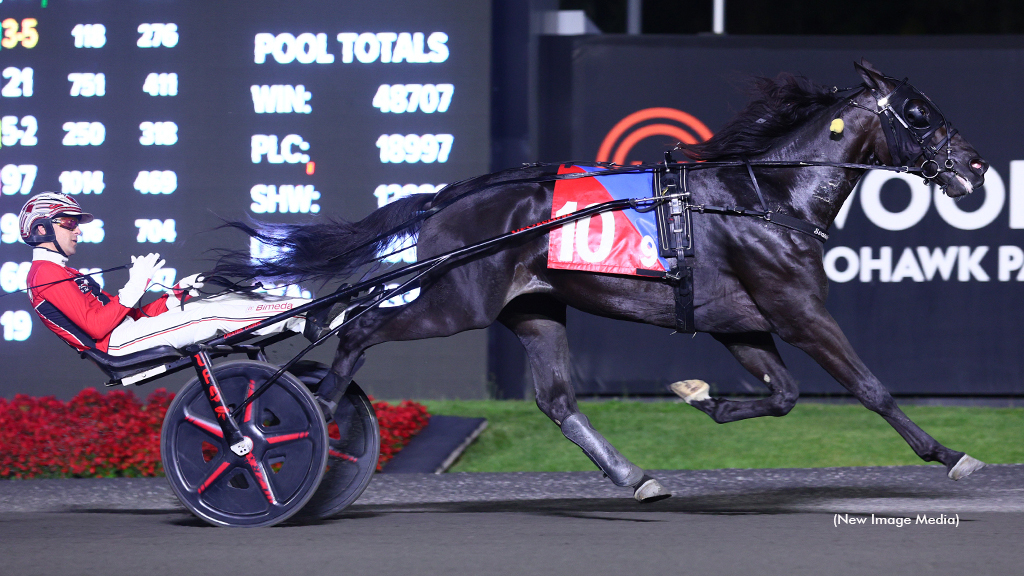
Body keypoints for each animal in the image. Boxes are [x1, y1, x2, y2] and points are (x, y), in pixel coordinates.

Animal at [214, 62, 983, 500]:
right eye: (918, 114)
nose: (974, 165)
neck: (765, 196)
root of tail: (455, 198)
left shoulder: (741, 319)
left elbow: (785, 396)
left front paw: (701, 397)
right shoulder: (796, 309)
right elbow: (870, 388)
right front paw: (950, 455)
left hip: (533, 309)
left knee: (557, 401)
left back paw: (633, 477)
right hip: (455, 301)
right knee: (360, 327)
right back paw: (302, 414)